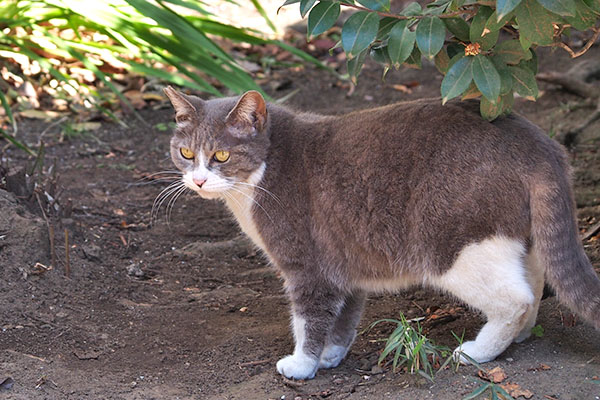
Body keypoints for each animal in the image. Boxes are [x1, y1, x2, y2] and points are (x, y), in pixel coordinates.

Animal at [163, 86, 600, 380]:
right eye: (186, 153)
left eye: (221, 155)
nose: (198, 181)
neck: (265, 170)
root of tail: (541, 145)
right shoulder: (345, 256)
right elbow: (344, 315)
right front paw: (332, 355)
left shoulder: (307, 266)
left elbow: (309, 319)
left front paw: (303, 364)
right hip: (517, 237)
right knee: (536, 280)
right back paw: (519, 337)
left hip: (457, 246)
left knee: (516, 298)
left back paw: (477, 352)